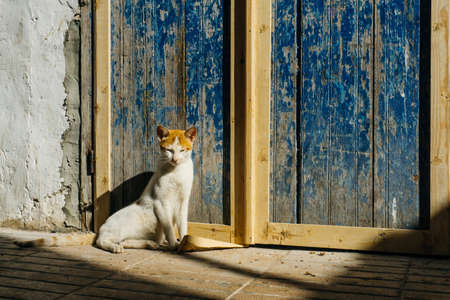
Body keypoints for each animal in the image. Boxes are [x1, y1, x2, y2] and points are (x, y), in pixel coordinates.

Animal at [16, 125, 195, 254]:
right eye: (169, 150)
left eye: (182, 150)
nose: (175, 159)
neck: (176, 172)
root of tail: (100, 229)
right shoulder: (161, 203)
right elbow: (169, 227)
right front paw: (173, 245)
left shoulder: (183, 202)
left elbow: (182, 225)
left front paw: (184, 242)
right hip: (122, 226)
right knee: (101, 241)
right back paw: (115, 247)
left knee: (126, 241)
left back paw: (150, 244)